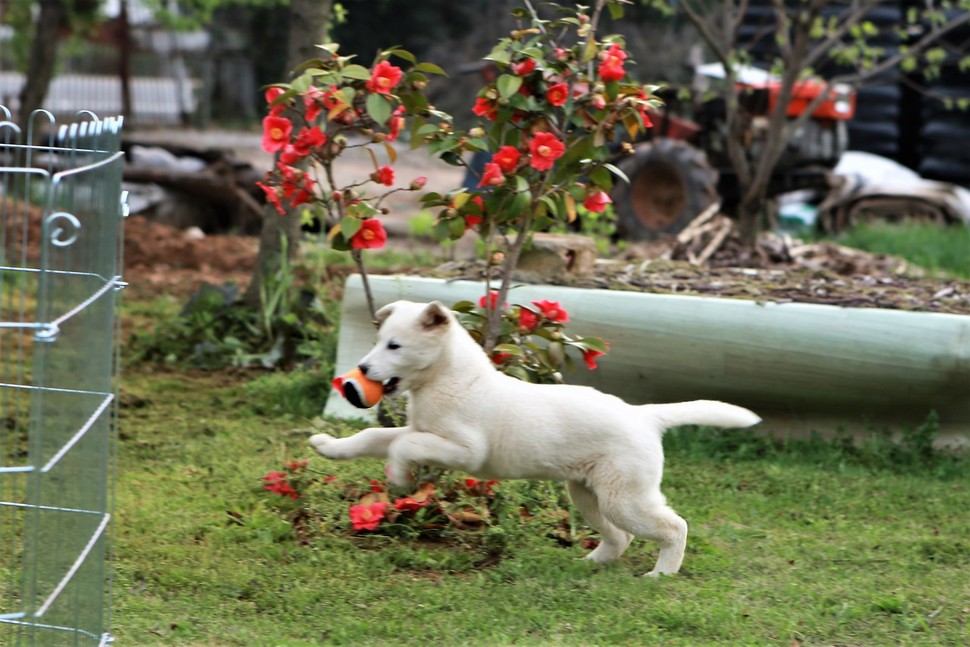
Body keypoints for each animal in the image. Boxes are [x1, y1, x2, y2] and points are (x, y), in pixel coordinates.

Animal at [308, 300, 756, 576]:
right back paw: (591, 563)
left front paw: (399, 477)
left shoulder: (464, 450)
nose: (363, 370)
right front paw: (329, 447)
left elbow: (401, 446)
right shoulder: (423, 431)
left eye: (394, 345)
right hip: (588, 494)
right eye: (378, 342)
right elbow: (375, 435)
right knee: (620, 536)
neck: (451, 379)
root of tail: (644, 416)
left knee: (674, 526)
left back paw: (661, 573)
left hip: (625, 497)